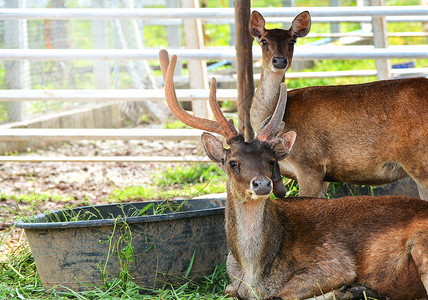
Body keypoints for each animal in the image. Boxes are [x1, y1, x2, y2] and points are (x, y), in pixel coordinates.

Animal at [158, 49, 428, 300]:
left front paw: (346, 290)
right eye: (233, 162)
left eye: (270, 160)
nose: (262, 184)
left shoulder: (334, 260)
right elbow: (229, 289)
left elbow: (285, 293)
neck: (254, 273)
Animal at [249, 10, 426, 200]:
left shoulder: (309, 165)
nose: (280, 61)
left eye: (292, 41)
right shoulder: (323, 178)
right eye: (264, 40)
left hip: (420, 162)